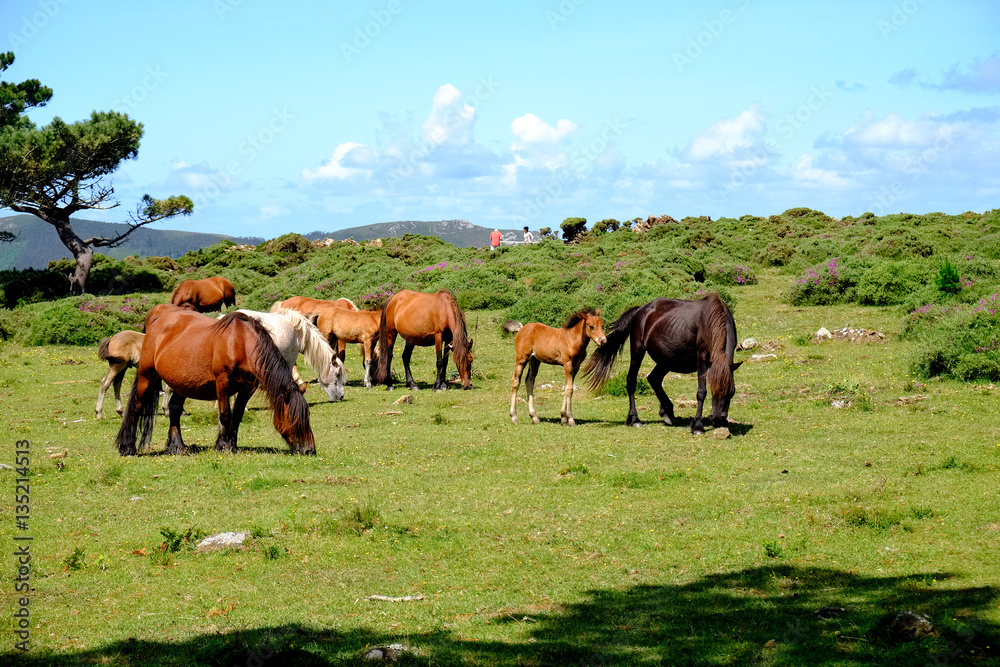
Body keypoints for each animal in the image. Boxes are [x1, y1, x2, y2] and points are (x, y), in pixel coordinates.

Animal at [115, 306, 314, 456]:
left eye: (308, 416)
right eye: (294, 418)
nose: (309, 450)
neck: (240, 343)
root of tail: (157, 322)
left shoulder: (247, 388)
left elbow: (237, 415)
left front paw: (232, 444)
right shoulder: (223, 383)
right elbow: (225, 414)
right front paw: (223, 446)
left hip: (182, 384)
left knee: (174, 409)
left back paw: (177, 446)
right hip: (147, 376)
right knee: (136, 406)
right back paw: (127, 447)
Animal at [580, 296, 744, 434]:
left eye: (731, 392)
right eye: (714, 389)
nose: (718, 419)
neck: (711, 321)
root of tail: (640, 310)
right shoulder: (702, 360)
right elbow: (701, 392)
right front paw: (697, 426)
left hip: (667, 360)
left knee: (654, 379)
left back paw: (667, 412)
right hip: (638, 350)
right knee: (632, 380)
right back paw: (635, 419)